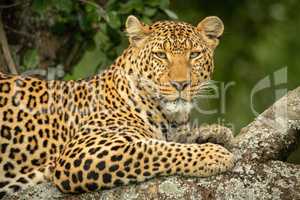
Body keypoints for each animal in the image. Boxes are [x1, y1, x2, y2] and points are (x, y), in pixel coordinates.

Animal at [0, 14, 234, 198]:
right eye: (160, 55)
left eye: (194, 54)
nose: (180, 84)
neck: (167, 116)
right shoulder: (82, 151)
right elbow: (153, 148)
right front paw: (213, 154)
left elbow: (176, 140)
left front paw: (216, 132)